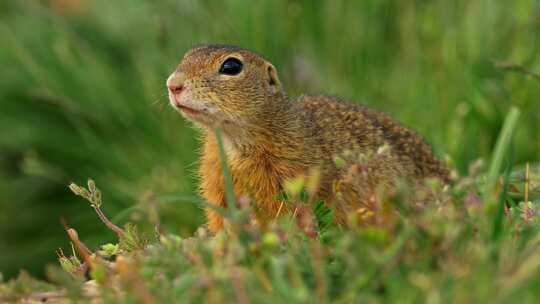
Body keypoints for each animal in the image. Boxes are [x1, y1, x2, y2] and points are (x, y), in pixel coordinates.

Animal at [167, 43, 450, 233]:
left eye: (231, 66)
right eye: (186, 56)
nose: (173, 84)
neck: (233, 140)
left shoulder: (289, 174)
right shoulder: (214, 178)